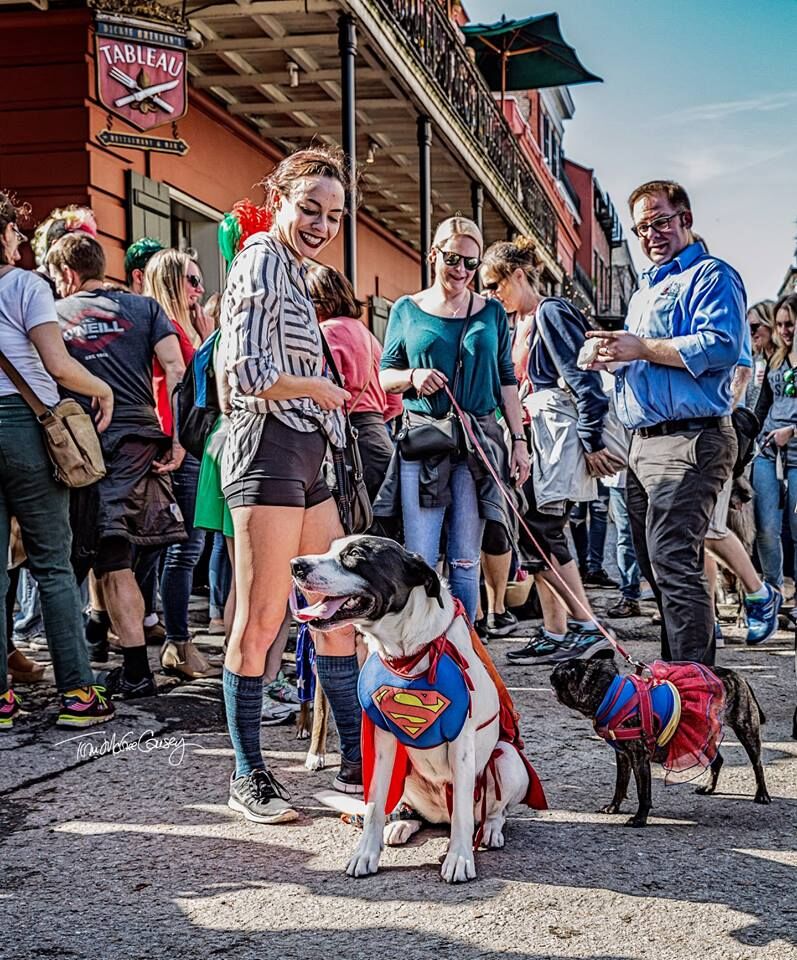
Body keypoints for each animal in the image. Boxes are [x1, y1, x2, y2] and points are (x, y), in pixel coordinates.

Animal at [290, 536, 544, 880]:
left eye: (354, 554)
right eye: (331, 548)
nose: (296, 565)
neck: (407, 651)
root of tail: (439, 815)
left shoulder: (462, 744)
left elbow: (464, 814)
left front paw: (459, 859)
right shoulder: (382, 742)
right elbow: (374, 805)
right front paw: (366, 854)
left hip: (506, 758)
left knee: (491, 812)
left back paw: (490, 830)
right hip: (408, 771)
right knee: (416, 815)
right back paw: (401, 824)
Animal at [552, 660, 768, 824]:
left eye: (558, 674)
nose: (550, 676)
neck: (609, 694)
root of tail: (738, 676)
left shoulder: (639, 758)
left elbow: (643, 792)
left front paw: (639, 819)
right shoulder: (623, 757)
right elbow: (620, 784)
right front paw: (614, 807)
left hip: (746, 729)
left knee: (757, 764)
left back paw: (762, 794)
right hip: (700, 735)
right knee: (717, 760)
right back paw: (709, 788)